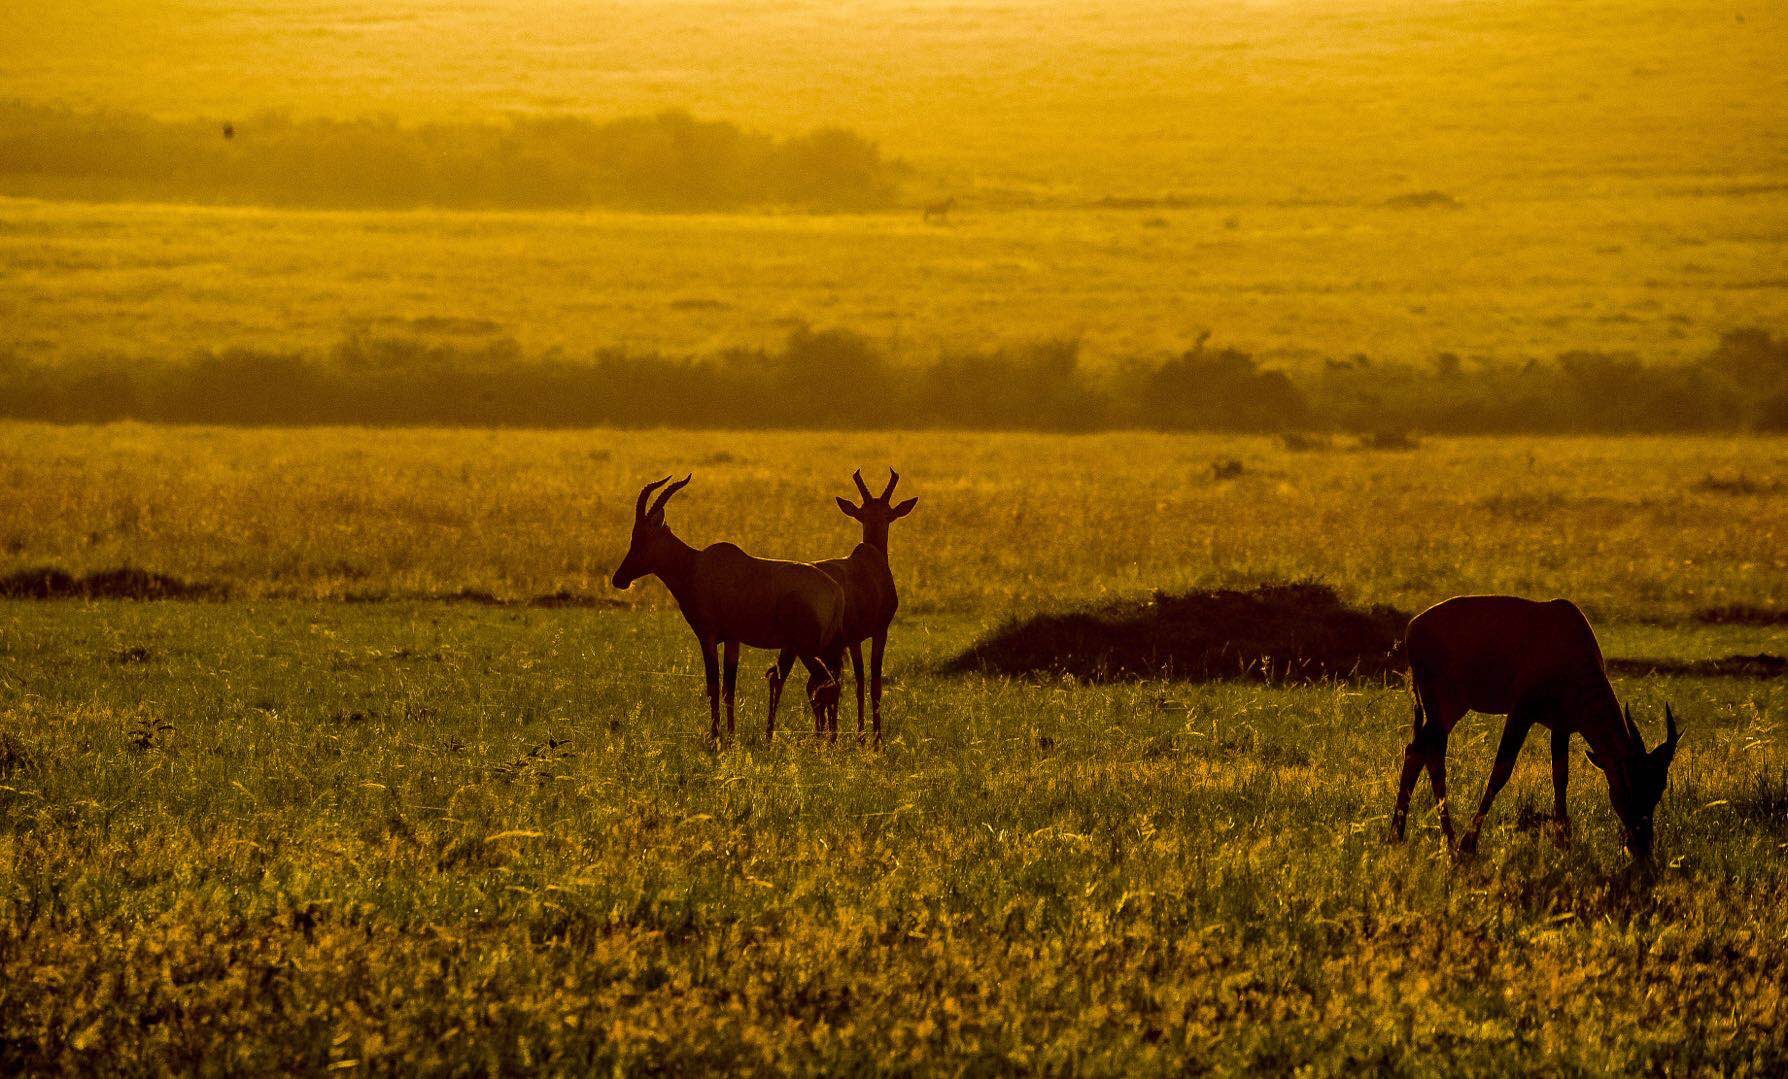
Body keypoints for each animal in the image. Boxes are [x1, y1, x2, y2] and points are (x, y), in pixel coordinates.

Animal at [607, 475, 843, 747]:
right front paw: (730, 736)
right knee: (827, 684)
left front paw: (715, 738)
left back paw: (823, 741)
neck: (695, 565)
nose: (619, 579)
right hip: (811, 649)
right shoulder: (732, 640)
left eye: (641, 538)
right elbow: (729, 687)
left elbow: (713, 685)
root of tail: (835, 592)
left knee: (824, 684)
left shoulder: (707, 637)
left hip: (806, 649)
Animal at [768, 468, 915, 747]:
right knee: (820, 684)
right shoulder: (874, 633)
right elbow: (869, 682)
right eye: (864, 514)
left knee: (785, 678)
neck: (871, 561)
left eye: (887, 514)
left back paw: (776, 737)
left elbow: (854, 682)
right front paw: (872, 739)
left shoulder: (848, 641)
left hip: (795, 644)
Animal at [1387, 594, 1680, 866]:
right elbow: (1500, 772)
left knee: (1421, 752)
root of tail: (1413, 627)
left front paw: (1563, 845)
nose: (1641, 847)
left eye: (1659, 787)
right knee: (1427, 754)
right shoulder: (1521, 712)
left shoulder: (1561, 726)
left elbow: (1560, 778)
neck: (1567, 639)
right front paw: (1469, 844)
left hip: (1445, 709)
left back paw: (1405, 836)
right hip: (1446, 705)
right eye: (1629, 782)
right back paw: (1443, 841)